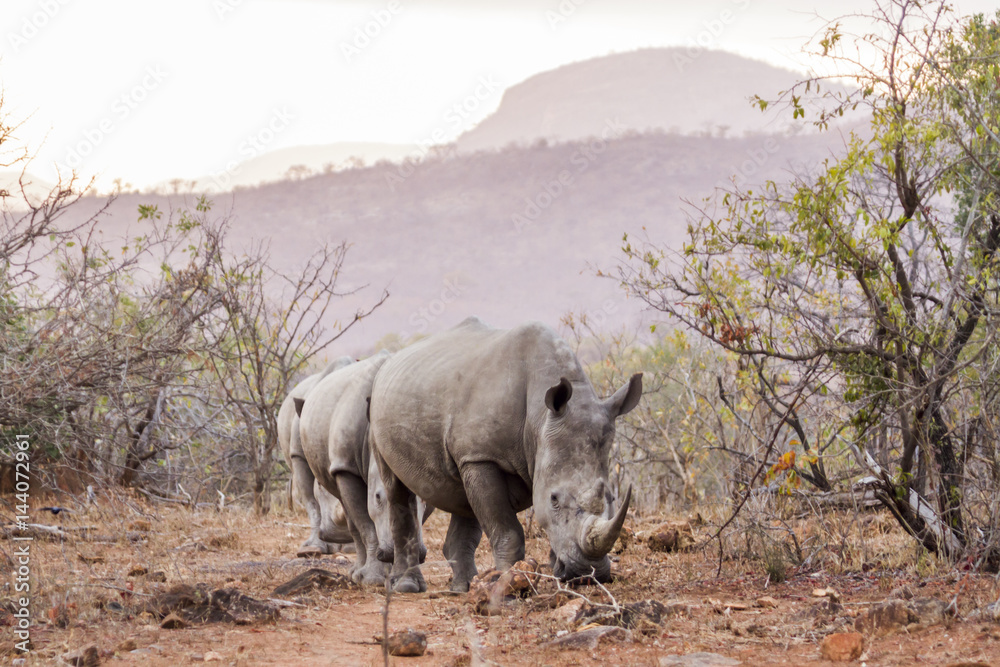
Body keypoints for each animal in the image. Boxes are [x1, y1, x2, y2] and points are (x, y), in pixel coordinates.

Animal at [369, 317, 641, 593]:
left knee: (462, 497)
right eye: (554, 499)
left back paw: (464, 587)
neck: (539, 419)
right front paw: (509, 585)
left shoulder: (504, 453)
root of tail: (390, 361)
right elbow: (507, 530)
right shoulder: (482, 457)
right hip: (377, 409)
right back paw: (406, 586)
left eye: (611, 497)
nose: (587, 573)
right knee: (396, 490)